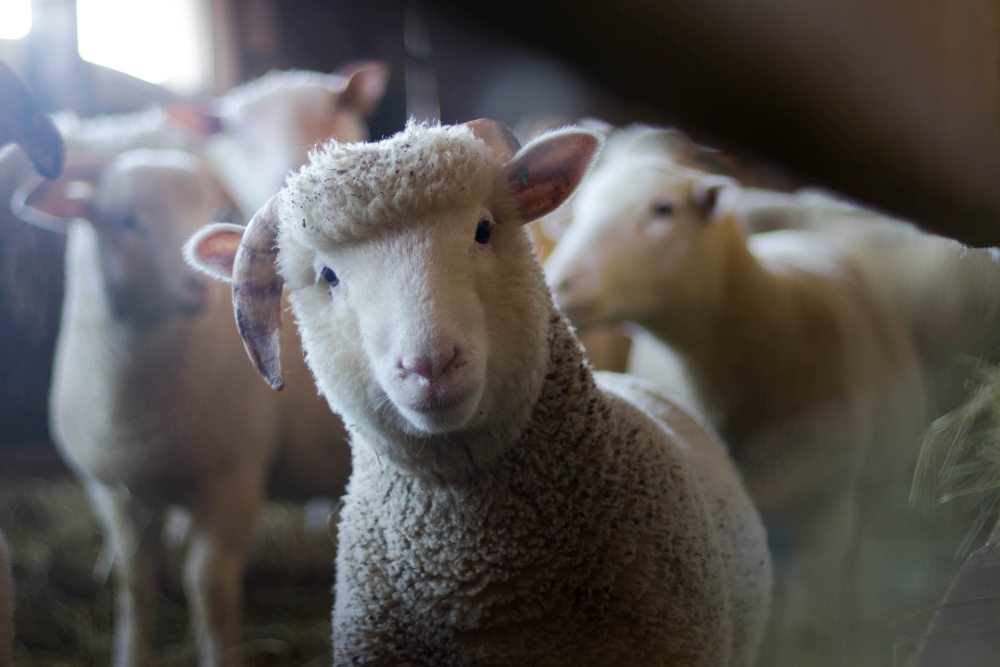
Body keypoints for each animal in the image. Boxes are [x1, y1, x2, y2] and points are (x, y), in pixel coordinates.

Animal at [11, 147, 354, 667]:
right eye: (126, 220)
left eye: (212, 211)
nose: (200, 286)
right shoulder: (115, 492)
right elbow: (133, 582)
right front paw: (130, 654)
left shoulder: (234, 481)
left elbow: (208, 586)